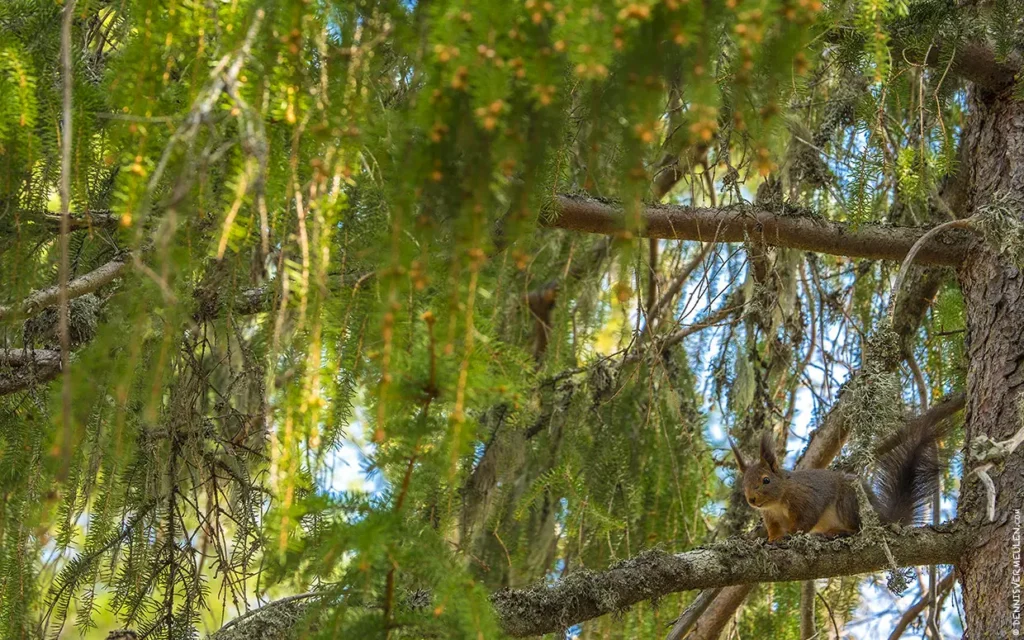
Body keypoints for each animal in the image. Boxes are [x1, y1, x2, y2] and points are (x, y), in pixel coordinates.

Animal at [728, 423, 943, 542]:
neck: (778, 501)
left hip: (849, 503)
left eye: (766, 480)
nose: (751, 499)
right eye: (743, 484)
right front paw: (773, 539)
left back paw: (839, 532)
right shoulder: (770, 517)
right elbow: (774, 530)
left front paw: (792, 533)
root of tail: (882, 518)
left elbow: (806, 519)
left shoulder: (807, 499)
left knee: (859, 529)